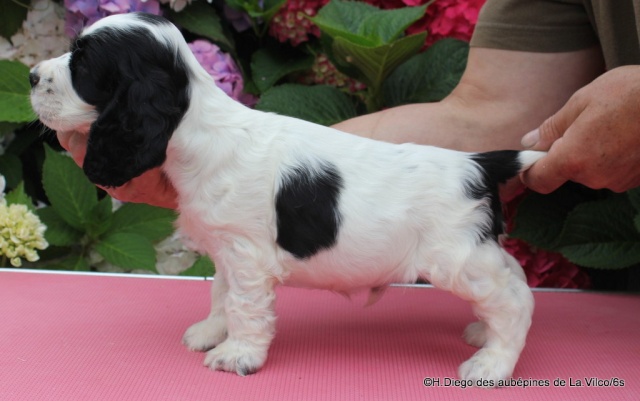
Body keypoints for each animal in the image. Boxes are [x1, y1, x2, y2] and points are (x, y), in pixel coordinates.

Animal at [28, 11, 540, 382]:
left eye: (83, 65)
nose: (31, 75)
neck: (199, 129)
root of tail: (479, 163)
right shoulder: (227, 251)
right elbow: (220, 294)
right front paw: (211, 332)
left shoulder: (247, 257)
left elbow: (244, 307)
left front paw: (238, 355)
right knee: (512, 280)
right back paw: (483, 333)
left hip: (455, 259)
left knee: (516, 300)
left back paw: (493, 363)